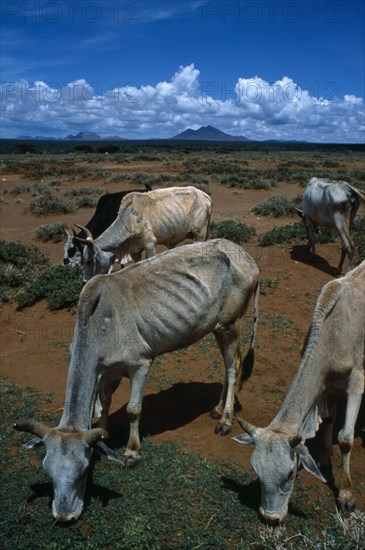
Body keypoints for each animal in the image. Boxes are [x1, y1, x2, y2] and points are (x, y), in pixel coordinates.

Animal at [14, 239, 258, 524]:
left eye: (83, 471)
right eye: (47, 470)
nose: (64, 516)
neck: (99, 324)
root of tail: (244, 255)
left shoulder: (140, 364)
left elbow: (133, 410)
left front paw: (132, 452)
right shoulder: (106, 372)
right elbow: (105, 403)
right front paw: (104, 435)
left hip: (231, 324)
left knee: (234, 367)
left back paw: (226, 419)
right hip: (217, 327)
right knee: (228, 365)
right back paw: (217, 409)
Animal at [78, 187, 212, 282]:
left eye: (89, 261)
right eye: (82, 261)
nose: (85, 281)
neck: (128, 220)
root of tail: (205, 196)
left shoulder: (150, 244)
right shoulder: (135, 251)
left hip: (199, 234)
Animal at [235, 264, 362, 528]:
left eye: (290, 474)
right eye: (257, 473)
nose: (270, 518)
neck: (333, 332)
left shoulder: (356, 381)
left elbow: (346, 438)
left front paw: (346, 495)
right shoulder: (327, 384)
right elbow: (330, 419)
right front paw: (324, 456)